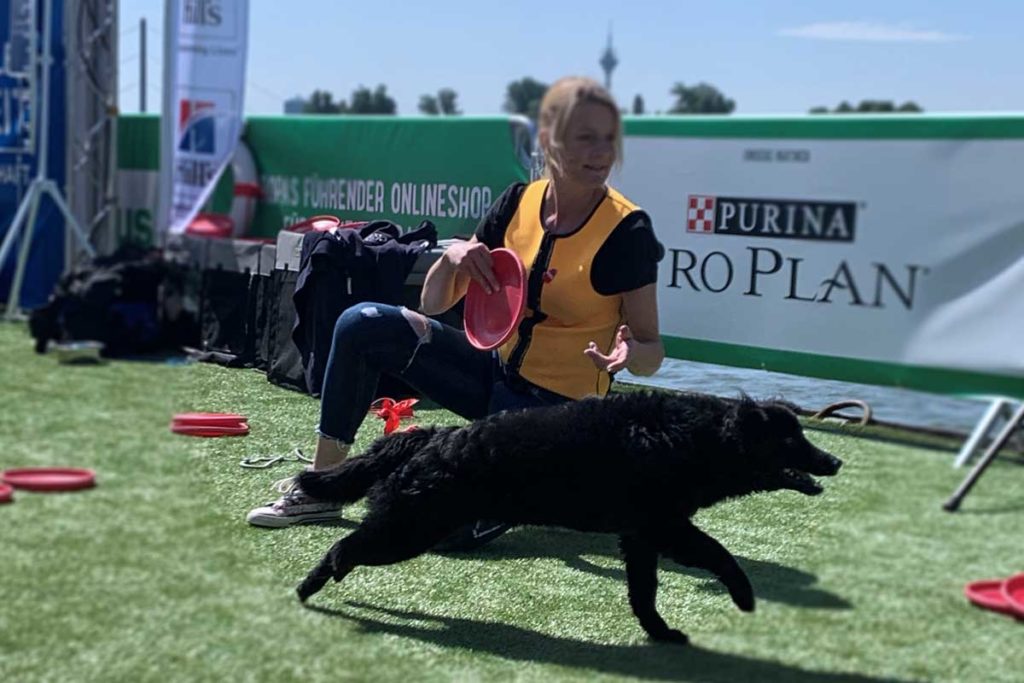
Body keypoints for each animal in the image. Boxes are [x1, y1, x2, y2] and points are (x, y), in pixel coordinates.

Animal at [294, 393, 839, 643]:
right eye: (791, 439)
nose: (835, 461)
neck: (689, 436)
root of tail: (434, 435)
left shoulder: (642, 536)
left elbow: (644, 593)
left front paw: (659, 632)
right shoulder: (667, 528)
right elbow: (721, 556)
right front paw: (744, 597)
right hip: (408, 529)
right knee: (343, 548)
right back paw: (310, 586)